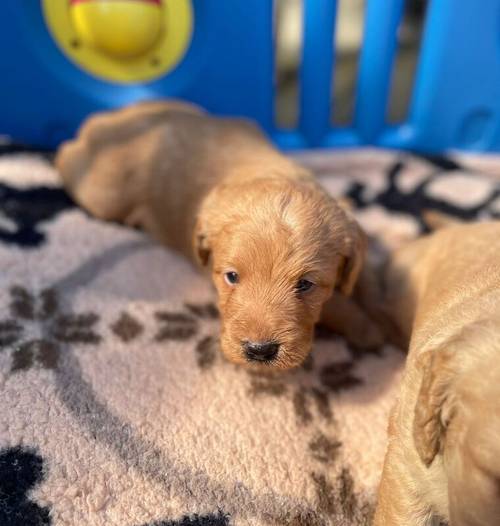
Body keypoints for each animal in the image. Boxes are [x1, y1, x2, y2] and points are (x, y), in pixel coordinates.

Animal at [55, 100, 382, 372]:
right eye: (231, 277)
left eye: (305, 285)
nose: (259, 351)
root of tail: (108, 119)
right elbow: (339, 305)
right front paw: (368, 329)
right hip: (103, 193)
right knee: (67, 155)